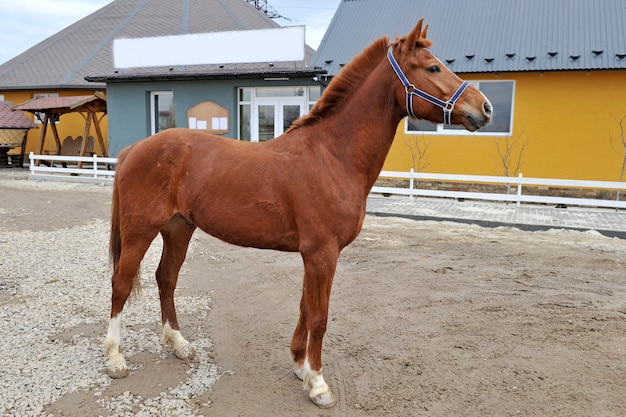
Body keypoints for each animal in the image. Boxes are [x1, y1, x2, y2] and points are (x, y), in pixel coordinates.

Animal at [103, 19, 492, 406]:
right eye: (433, 68)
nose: (485, 107)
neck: (332, 155)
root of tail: (134, 148)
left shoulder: (316, 254)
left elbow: (306, 306)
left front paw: (300, 366)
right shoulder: (322, 253)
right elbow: (319, 315)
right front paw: (318, 384)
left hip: (178, 229)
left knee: (166, 279)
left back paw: (178, 344)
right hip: (140, 232)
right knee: (121, 284)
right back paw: (115, 358)